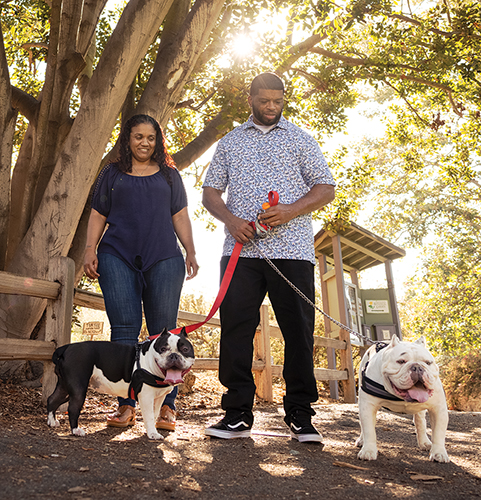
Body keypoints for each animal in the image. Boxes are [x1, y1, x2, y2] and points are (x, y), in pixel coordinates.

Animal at [46, 328, 194, 442]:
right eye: (163, 349)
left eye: (185, 349)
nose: (174, 355)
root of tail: (66, 348)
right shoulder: (146, 397)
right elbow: (149, 415)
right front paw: (153, 434)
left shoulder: (158, 398)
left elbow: (154, 413)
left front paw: (152, 430)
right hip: (78, 389)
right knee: (72, 408)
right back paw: (76, 430)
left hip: (64, 386)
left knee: (52, 399)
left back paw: (52, 422)